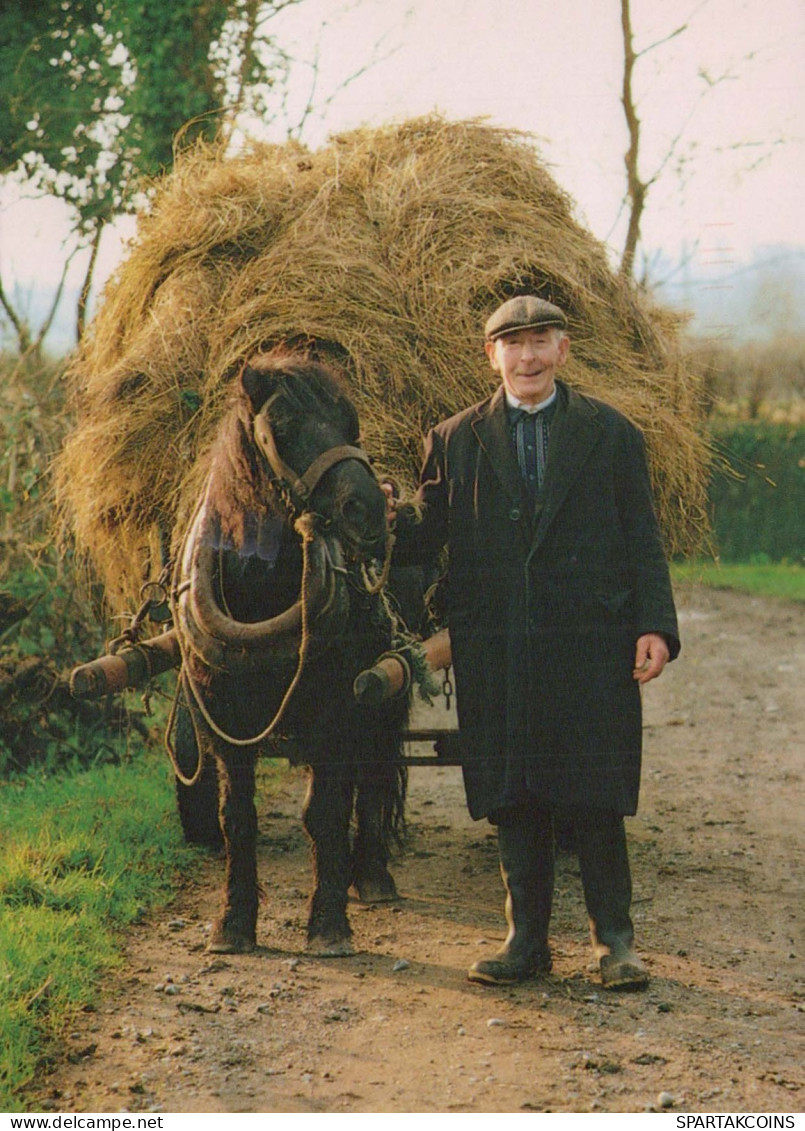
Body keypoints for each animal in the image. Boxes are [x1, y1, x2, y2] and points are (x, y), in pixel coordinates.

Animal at [170, 352, 409, 954]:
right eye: (280, 429)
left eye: (351, 424)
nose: (372, 510)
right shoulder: (219, 713)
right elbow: (237, 816)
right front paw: (233, 924)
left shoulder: (339, 707)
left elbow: (327, 811)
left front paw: (328, 924)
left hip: (381, 697)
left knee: (372, 779)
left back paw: (371, 875)